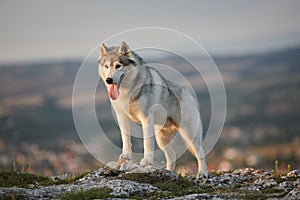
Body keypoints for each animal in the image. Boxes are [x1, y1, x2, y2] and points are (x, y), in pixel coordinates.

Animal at [97, 41, 207, 177]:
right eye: (106, 66)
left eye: (118, 66)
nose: (109, 80)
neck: (128, 91)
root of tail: (189, 93)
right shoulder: (122, 118)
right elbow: (126, 140)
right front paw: (125, 158)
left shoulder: (146, 119)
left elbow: (147, 144)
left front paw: (146, 161)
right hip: (162, 139)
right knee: (172, 155)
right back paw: (167, 172)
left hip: (189, 134)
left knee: (200, 153)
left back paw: (202, 174)